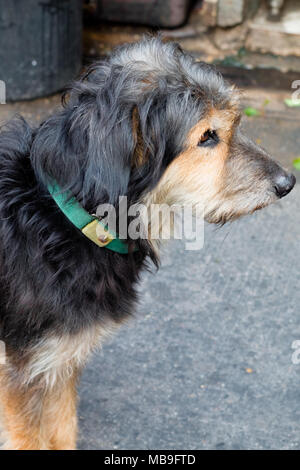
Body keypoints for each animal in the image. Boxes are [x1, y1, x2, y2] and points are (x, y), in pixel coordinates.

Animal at [0, 36, 296, 448]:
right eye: (207, 136)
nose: (288, 182)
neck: (62, 219)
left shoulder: (59, 358)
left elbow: (62, 429)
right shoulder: (23, 367)